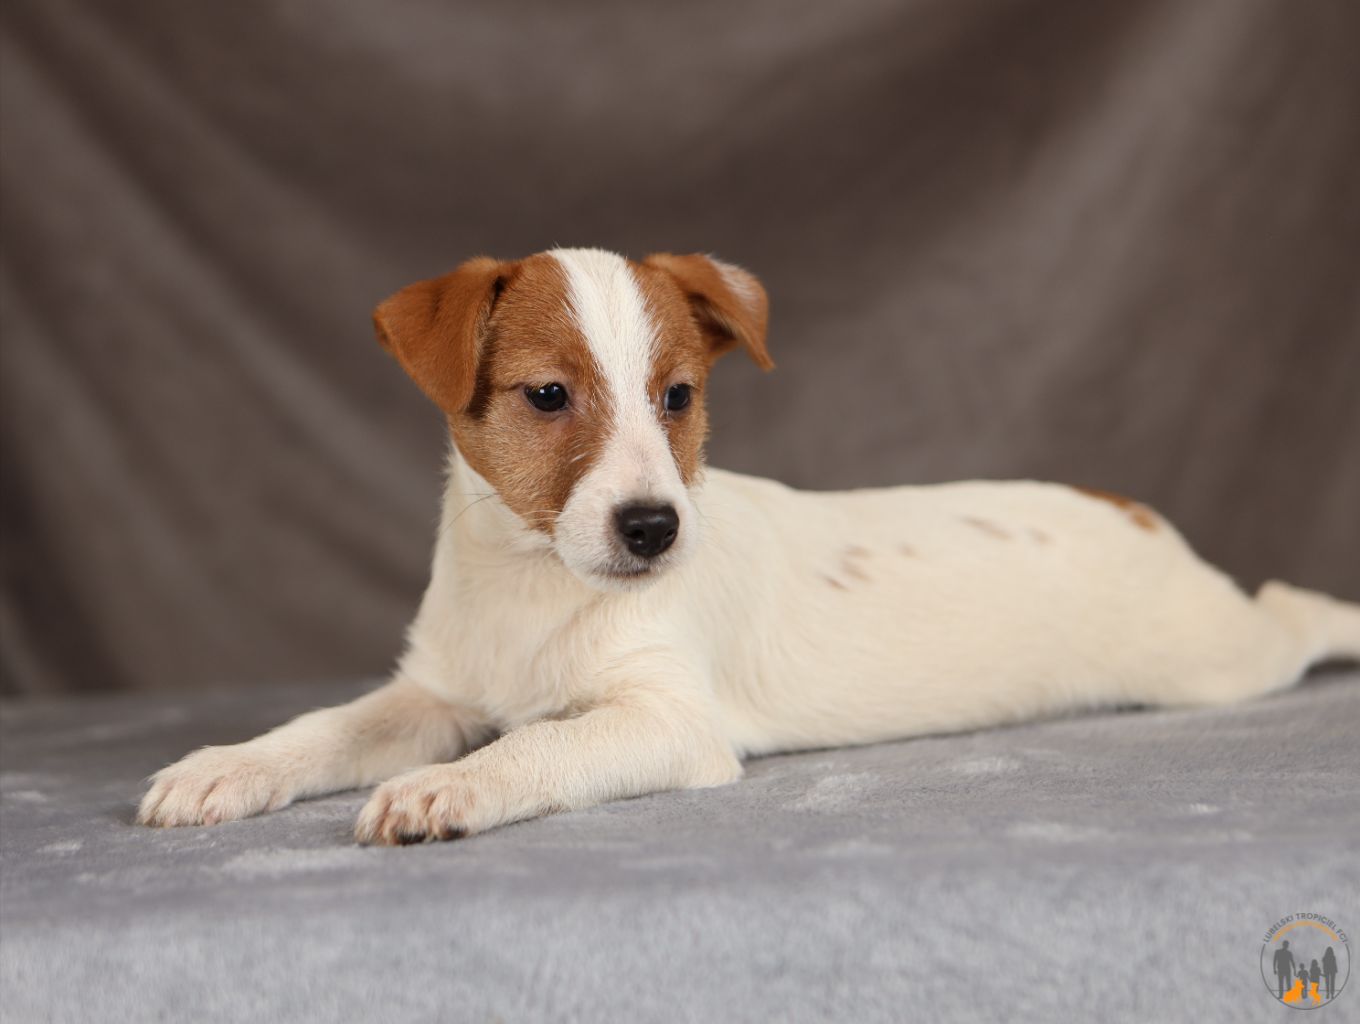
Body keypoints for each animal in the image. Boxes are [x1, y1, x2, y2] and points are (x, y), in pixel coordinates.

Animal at [137, 247, 1360, 844]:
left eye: (678, 397)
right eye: (548, 396)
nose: (653, 528)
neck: (537, 583)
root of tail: (1124, 507)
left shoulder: (666, 720)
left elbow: (534, 749)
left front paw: (448, 791)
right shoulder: (432, 692)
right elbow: (321, 729)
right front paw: (222, 767)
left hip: (1216, 658)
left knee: (1293, 610)